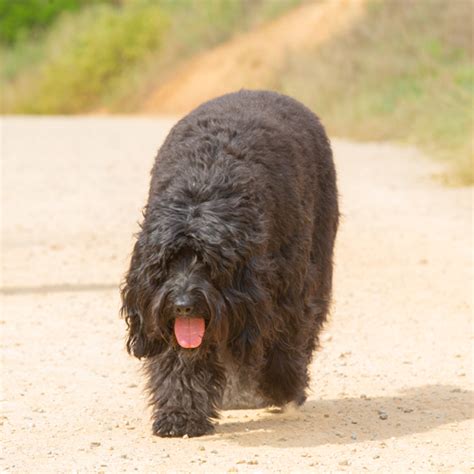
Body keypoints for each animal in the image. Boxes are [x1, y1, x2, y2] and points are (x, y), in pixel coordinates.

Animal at [120, 89, 338, 436]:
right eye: (166, 263)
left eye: (208, 264)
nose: (183, 305)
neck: (202, 190)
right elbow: (180, 359)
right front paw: (181, 414)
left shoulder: (288, 294)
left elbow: (284, 341)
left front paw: (282, 386)